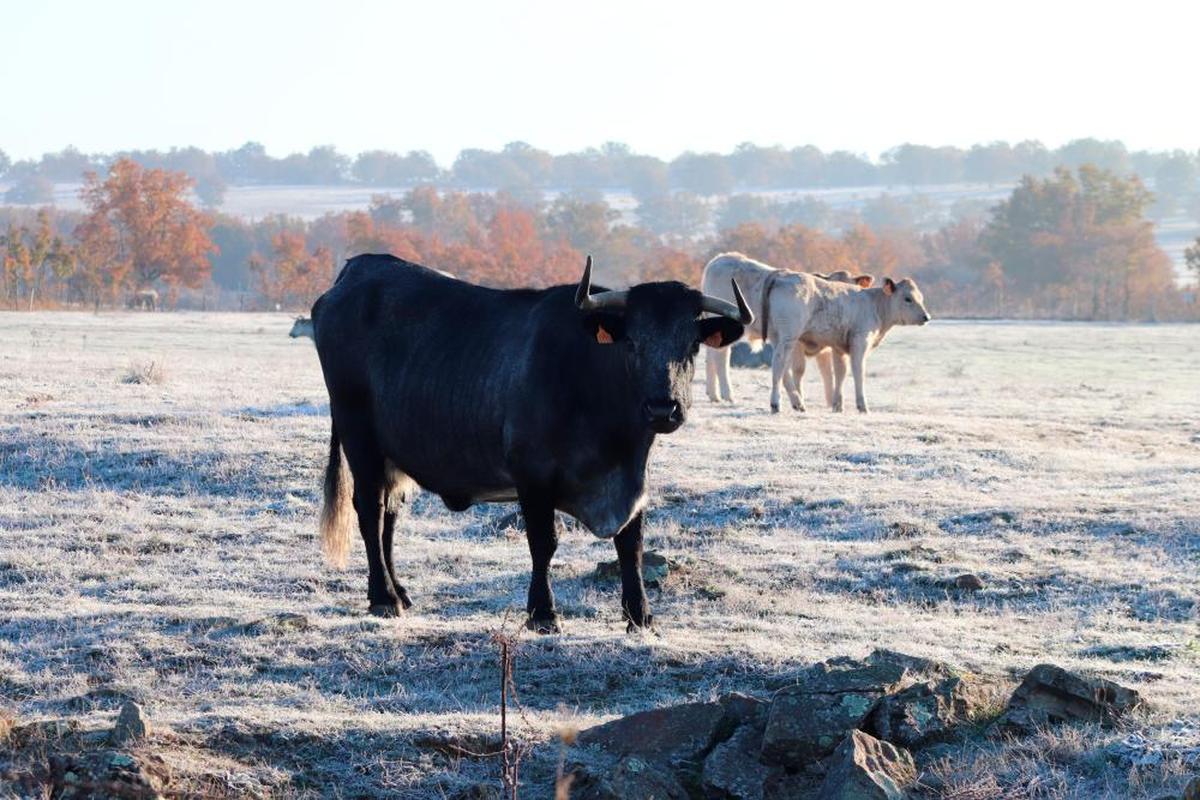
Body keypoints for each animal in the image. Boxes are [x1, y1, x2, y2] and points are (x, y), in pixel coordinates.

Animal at [314, 255, 753, 633]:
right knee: (369, 512)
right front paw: (543, 613)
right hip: (360, 436)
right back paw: (383, 597)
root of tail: (359, 269)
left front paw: (640, 616)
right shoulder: (533, 476)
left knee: (388, 516)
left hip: (393, 454)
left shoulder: (633, 483)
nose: (664, 407)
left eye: (692, 345)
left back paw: (400, 591)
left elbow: (631, 544)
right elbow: (544, 543)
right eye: (632, 343)